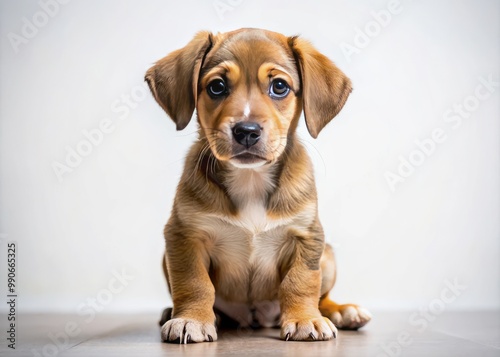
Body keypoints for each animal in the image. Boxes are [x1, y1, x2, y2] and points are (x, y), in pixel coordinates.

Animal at [145, 28, 372, 342]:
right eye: (217, 86)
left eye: (279, 86)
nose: (247, 131)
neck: (250, 179)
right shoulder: (184, 235)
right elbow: (194, 282)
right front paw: (191, 319)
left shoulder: (306, 237)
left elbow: (301, 282)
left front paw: (306, 319)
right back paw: (182, 313)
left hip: (328, 257)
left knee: (321, 296)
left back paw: (340, 311)